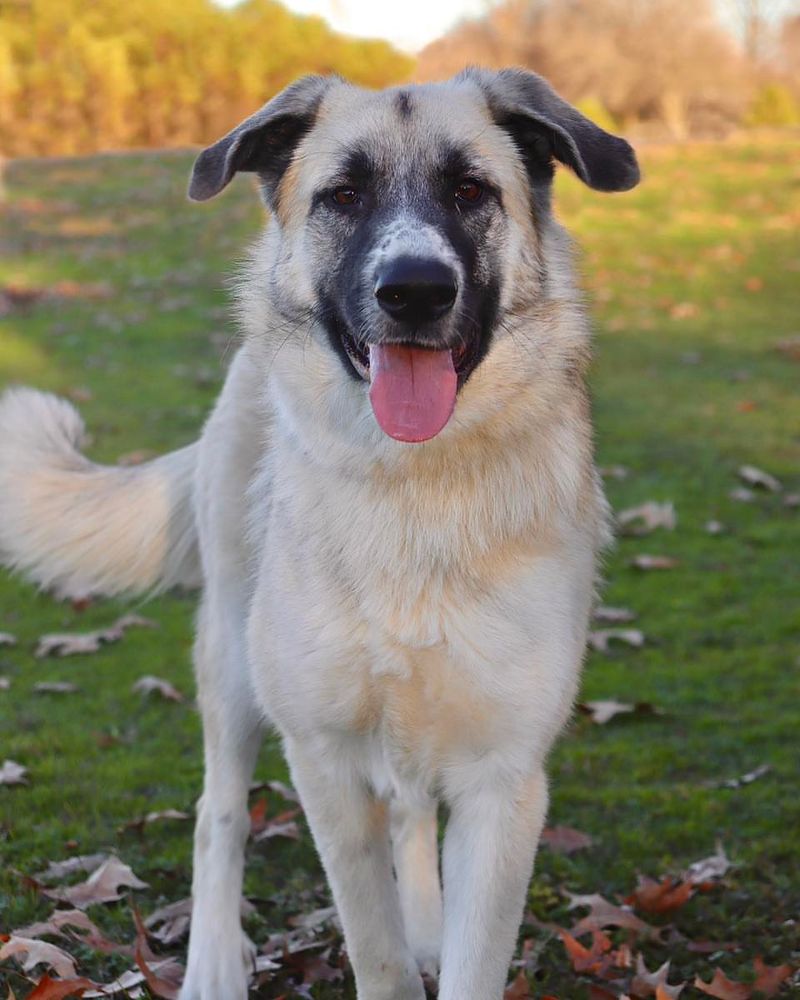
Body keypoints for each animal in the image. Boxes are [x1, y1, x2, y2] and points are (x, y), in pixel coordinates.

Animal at [0, 70, 636, 1000]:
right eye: (344, 196)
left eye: (470, 191)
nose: (415, 291)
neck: (412, 490)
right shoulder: (324, 759)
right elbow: (373, 951)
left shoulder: (503, 780)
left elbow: (469, 953)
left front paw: (432, 934)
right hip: (233, 661)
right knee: (219, 812)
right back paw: (214, 960)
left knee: (410, 807)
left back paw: (424, 919)